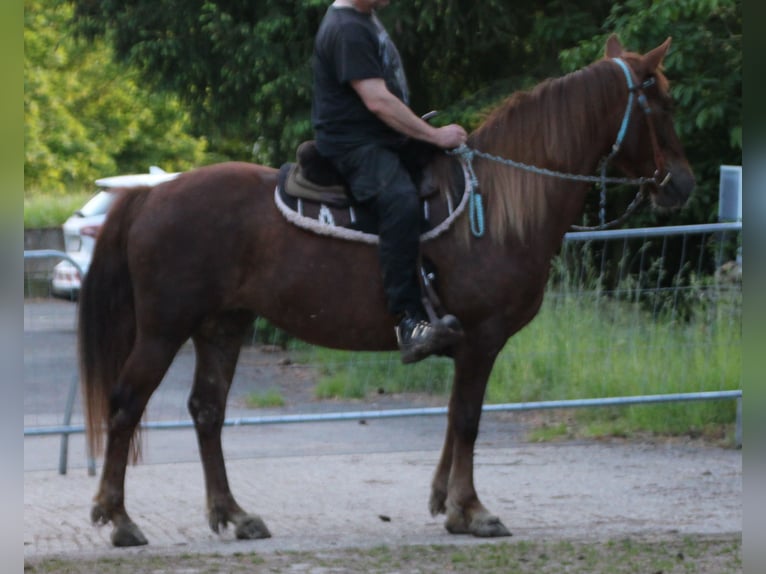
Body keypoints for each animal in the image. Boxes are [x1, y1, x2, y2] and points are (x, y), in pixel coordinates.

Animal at [78, 35, 696, 548]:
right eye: (662, 103)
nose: (683, 184)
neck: (497, 205)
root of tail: (152, 195)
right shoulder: (483, 338)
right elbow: (468, 419)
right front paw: (474, 511)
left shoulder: (466, 343)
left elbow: (454, 417)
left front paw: (448, 504)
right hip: (164, 329)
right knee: (127, 403)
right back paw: (120, 519)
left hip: (222, 326)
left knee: (207, 409)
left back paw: (235, 514)